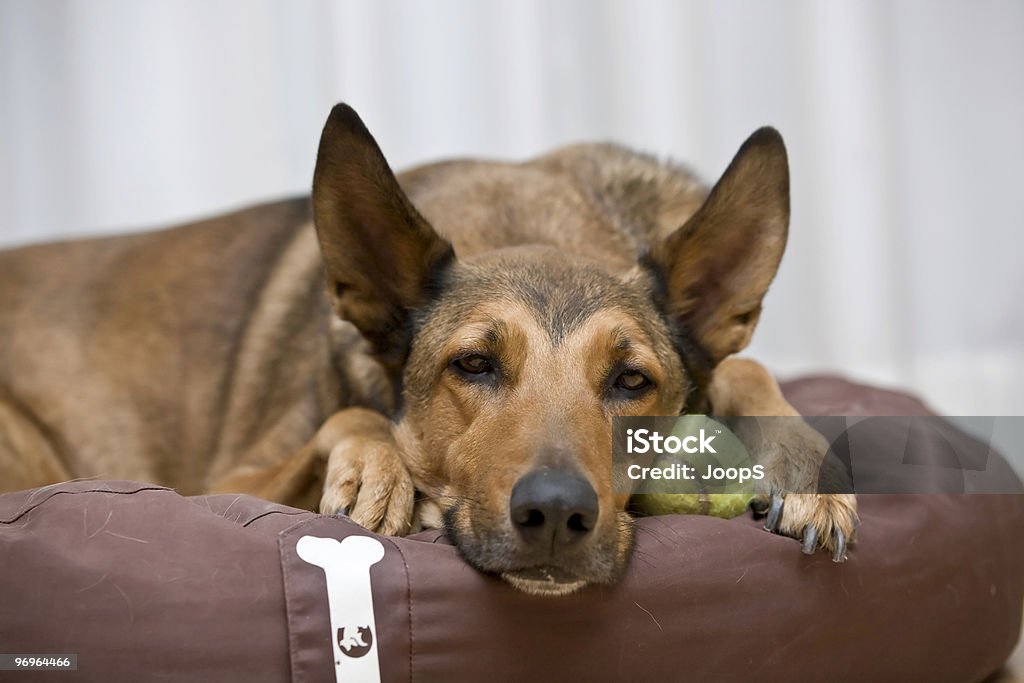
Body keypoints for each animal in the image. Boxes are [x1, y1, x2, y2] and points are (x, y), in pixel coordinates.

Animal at [0, 104, 856, 593]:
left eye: (630, 379)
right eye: (472, 364)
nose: (556, 514)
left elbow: (746, 364)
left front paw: (808, 473)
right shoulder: (225, 481)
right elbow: (349, 418)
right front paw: (377, 471)